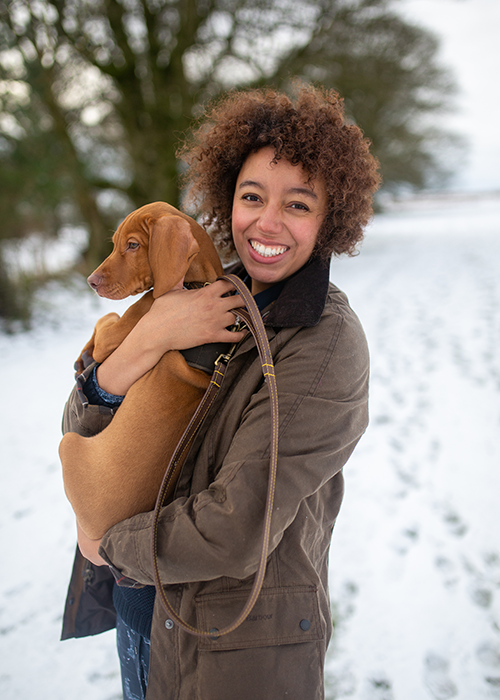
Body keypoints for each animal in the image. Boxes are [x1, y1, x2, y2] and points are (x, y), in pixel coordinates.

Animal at [58, 202, 223, 540]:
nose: (91, 282)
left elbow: (105, 320)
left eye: (133, 245)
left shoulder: (120, 332)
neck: (197, 282)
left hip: (68, 446)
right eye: (115, 243)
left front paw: (85, 353)